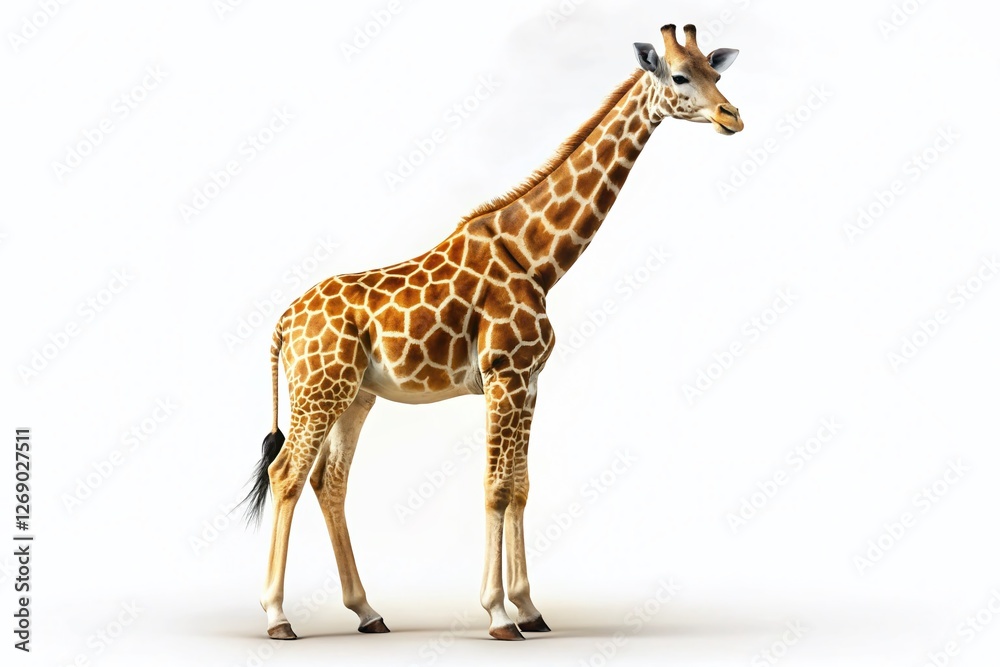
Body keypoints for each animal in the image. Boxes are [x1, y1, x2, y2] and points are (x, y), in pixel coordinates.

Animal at [242, 23, 742, 641]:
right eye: (679, 76)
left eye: (716, 72)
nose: (731, 115)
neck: (537, 260)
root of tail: (283, 322)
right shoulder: (504, 375)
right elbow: (496, 487)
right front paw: (499, 615)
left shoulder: (529, 381)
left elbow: (521, 487)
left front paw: (530, 609)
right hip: (319, 389)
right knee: (287, 473)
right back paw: (277, 616)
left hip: (355, 395)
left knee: (328, 481)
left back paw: (368, 612)